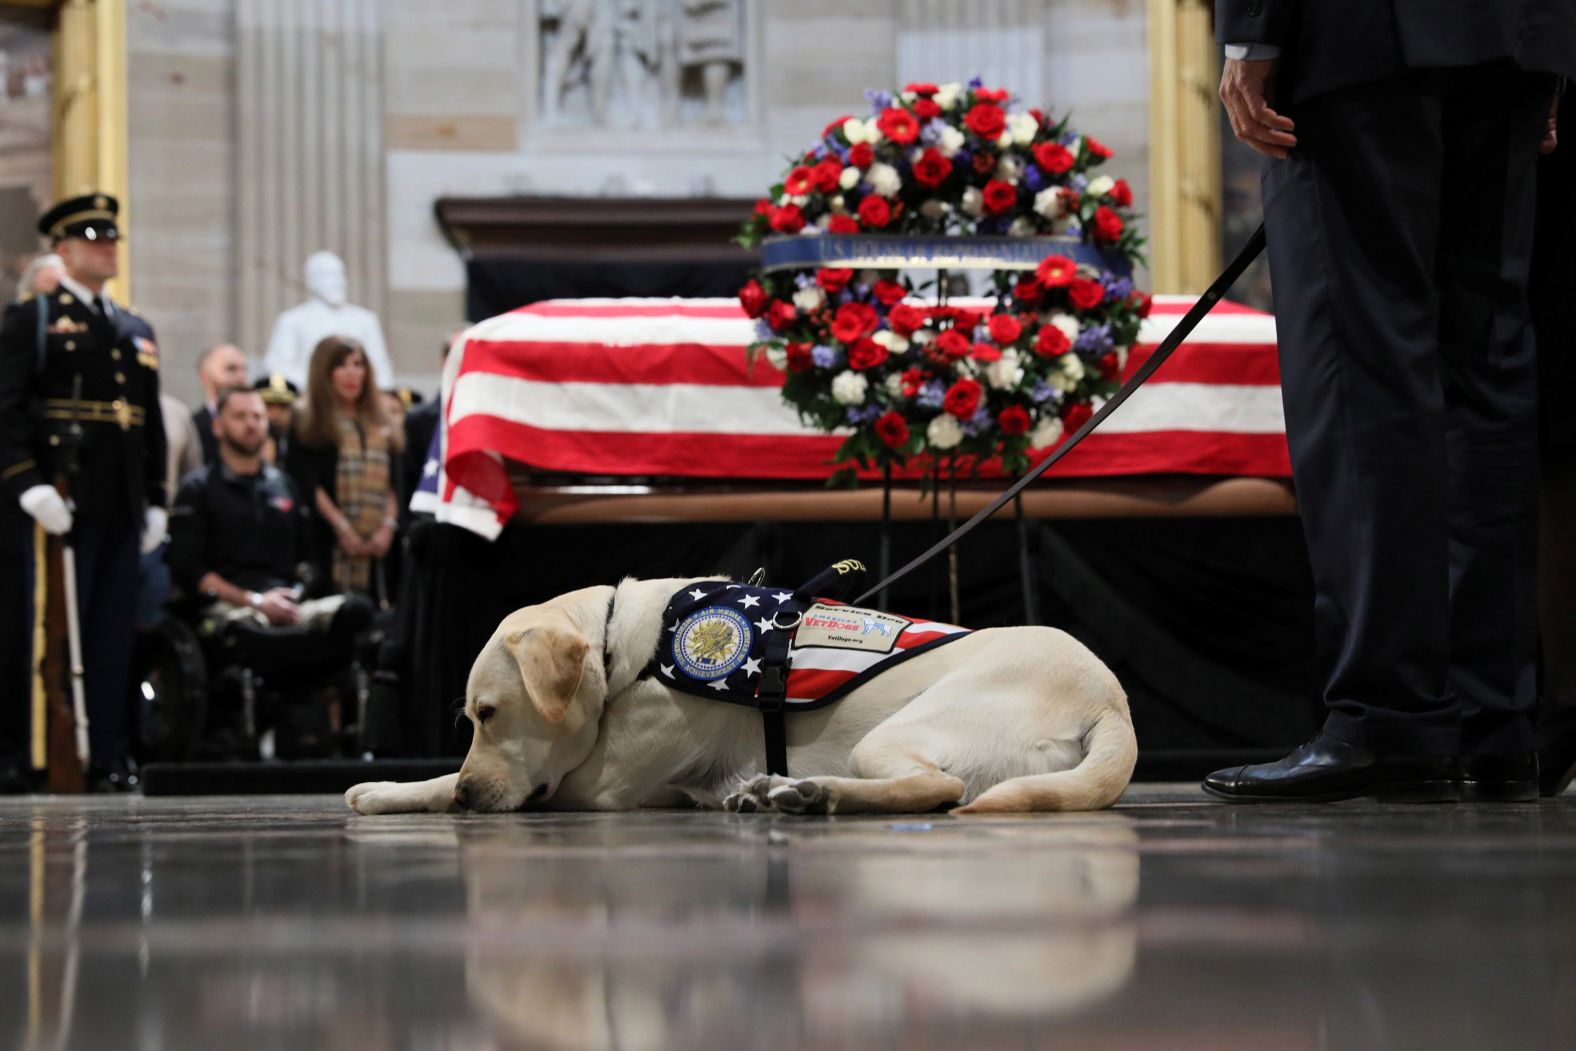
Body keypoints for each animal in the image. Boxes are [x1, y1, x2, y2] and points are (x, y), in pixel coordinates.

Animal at [348, 579, 1134, 819]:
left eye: (487, 714)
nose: (473, 796)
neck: (627, 648)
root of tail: (1112, 701)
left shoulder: (596, 783)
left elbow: (439, 777)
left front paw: (390, 790)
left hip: (897, 732)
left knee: (936, 787)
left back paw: (814, 793)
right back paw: (776, 790)